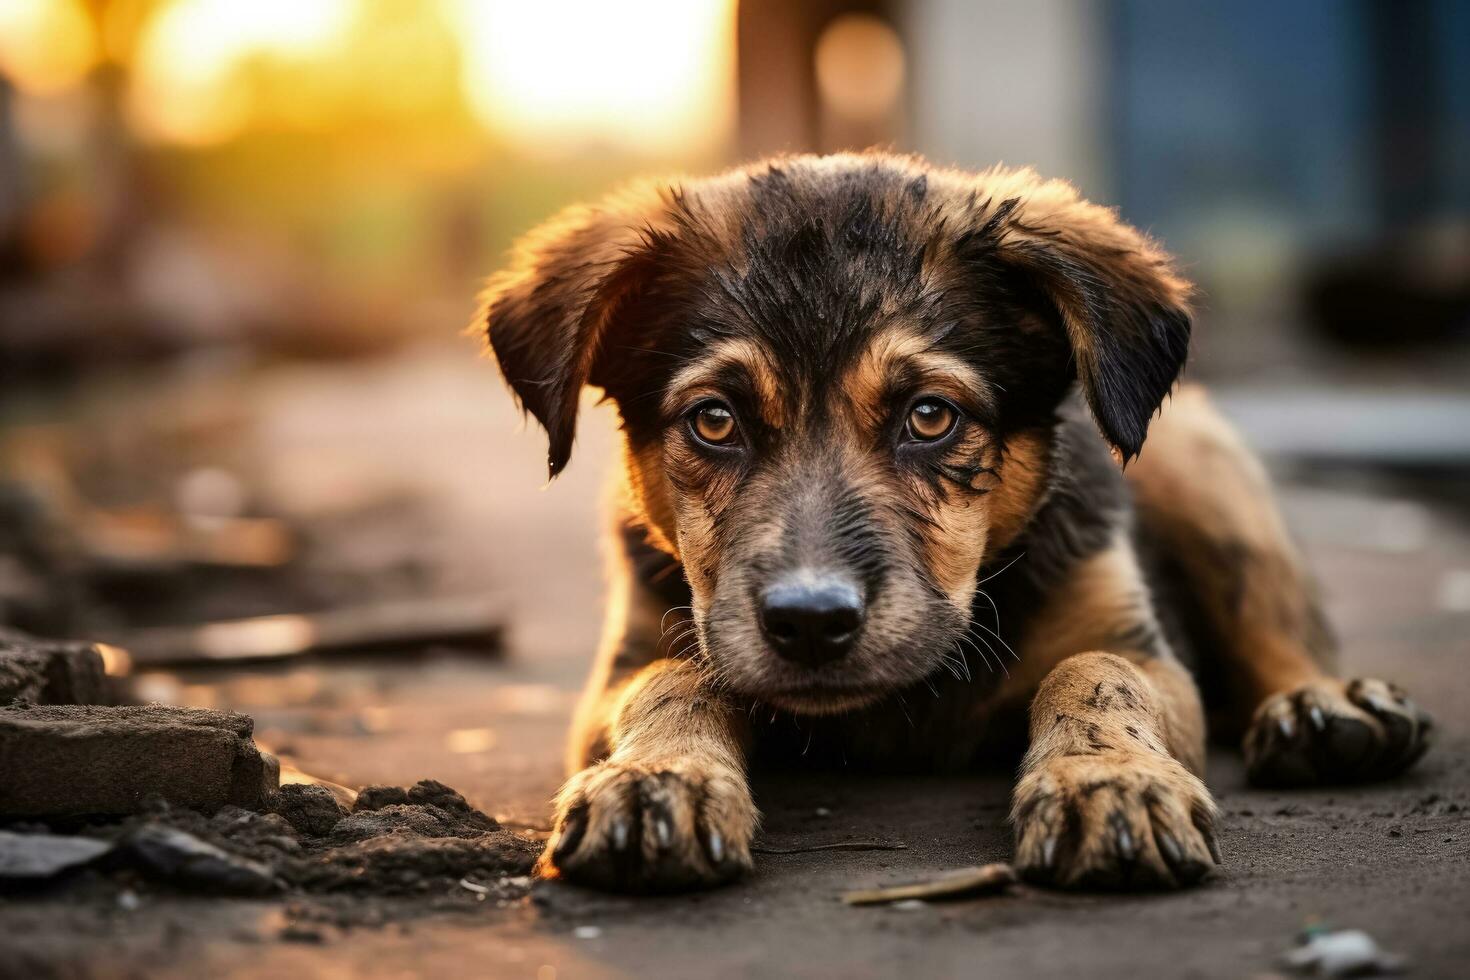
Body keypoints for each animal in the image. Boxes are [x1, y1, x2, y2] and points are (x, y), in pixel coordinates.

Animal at [479, 151, 1434, 887]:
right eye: (714, 421)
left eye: (930, 416)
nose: (812, 624)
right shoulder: (625, 664)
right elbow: (678, 677)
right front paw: (656, 778)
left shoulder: (1142, 650)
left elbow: (1093, 673)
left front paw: (1106, 782)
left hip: (1206, 467)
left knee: (1276, 622)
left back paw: (1322, 709)